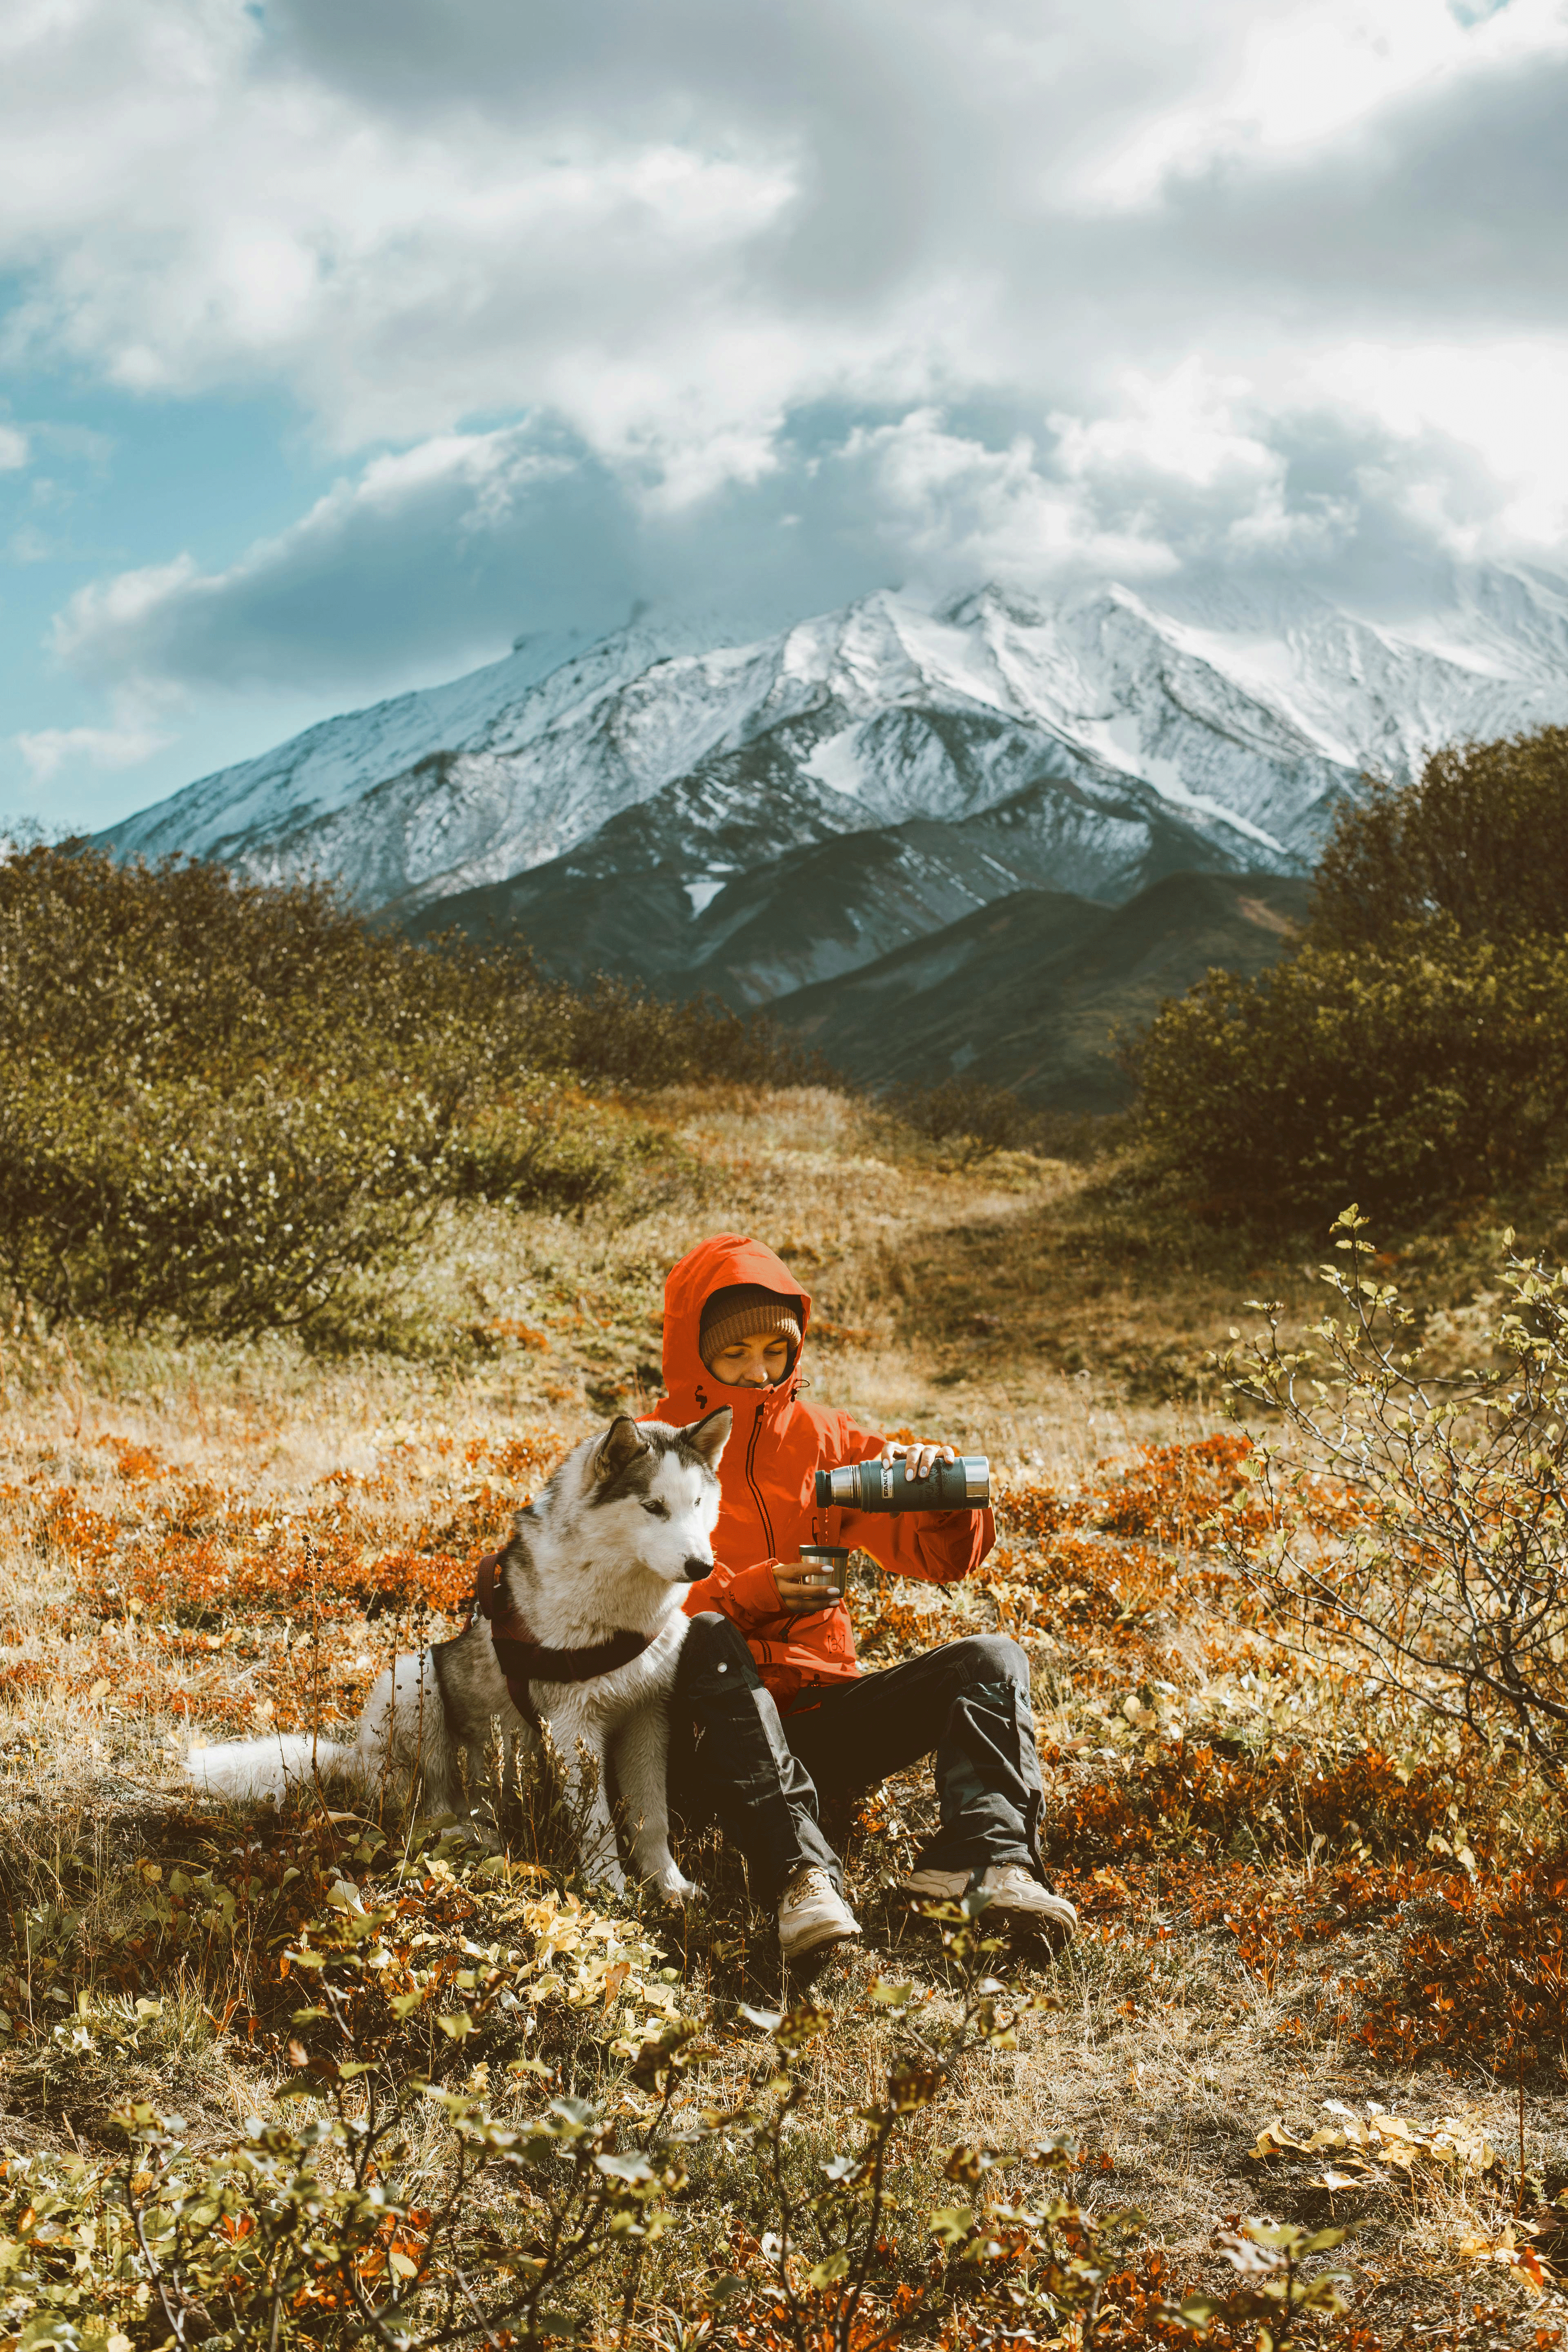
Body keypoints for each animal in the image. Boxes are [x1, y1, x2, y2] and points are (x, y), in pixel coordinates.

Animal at [187, 1411, 733, 1891]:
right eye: (653, 1507)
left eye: (698, 1503)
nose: (702, 1566)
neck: (621, 1613)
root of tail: (357, 1759)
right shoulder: (573, 1725)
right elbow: (597, 1825)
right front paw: (612, 1891)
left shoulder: (648, 1715)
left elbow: (652, 1817)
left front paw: (670, 1885)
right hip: (412, 1679)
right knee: (427, 1812)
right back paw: (469, 1834)